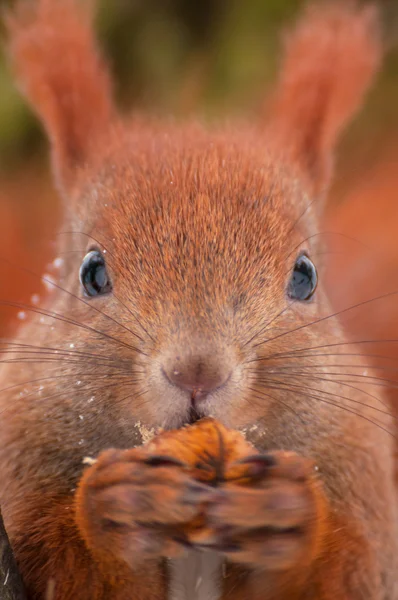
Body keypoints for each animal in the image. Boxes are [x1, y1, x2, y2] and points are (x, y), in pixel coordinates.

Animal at [1, 1, 396, 600]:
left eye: (305, 276)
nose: (196, 374)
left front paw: (287, 514)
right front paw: (115, 508)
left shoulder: (361, 472)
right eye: (92, 273)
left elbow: (350, 574)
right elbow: (58, 564)